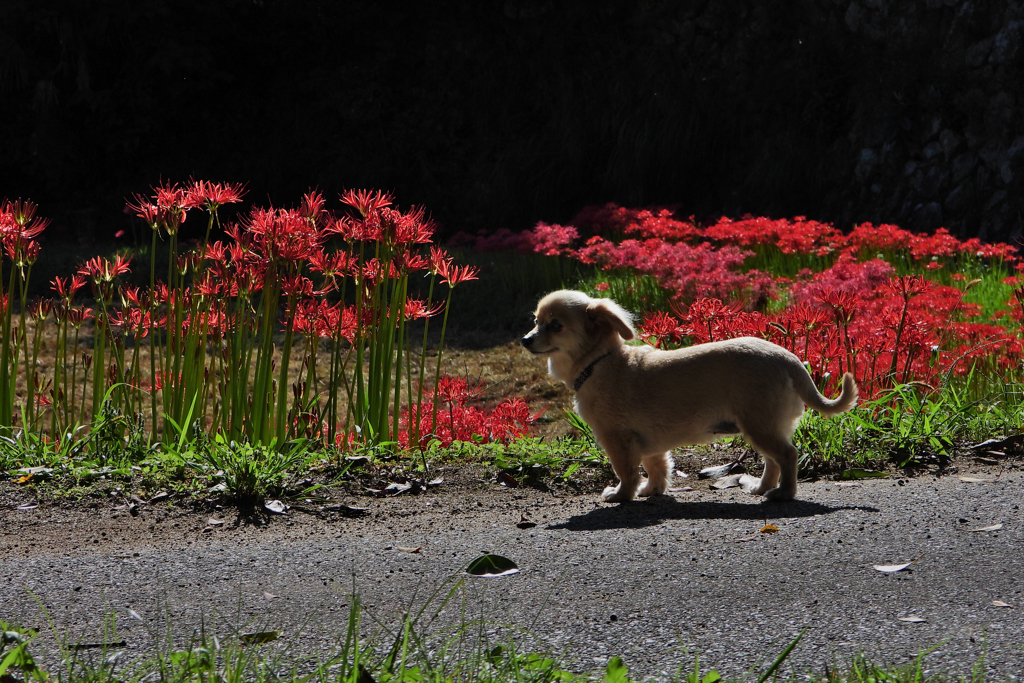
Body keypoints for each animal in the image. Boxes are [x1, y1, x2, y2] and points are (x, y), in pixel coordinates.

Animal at [520, 288, 856, 501]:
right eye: (535, 321)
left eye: (555, 325)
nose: (524, 340)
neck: (601, 362)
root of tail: (790, 360)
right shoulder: (650, 443)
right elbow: (657, 468)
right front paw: (651, 491)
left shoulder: (617, 439)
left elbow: (627, 472)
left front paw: (622, 495)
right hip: (767, 426)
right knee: (774, 460)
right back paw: (762, 489)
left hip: (759, 427)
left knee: (788, 456)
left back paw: (784, 494)